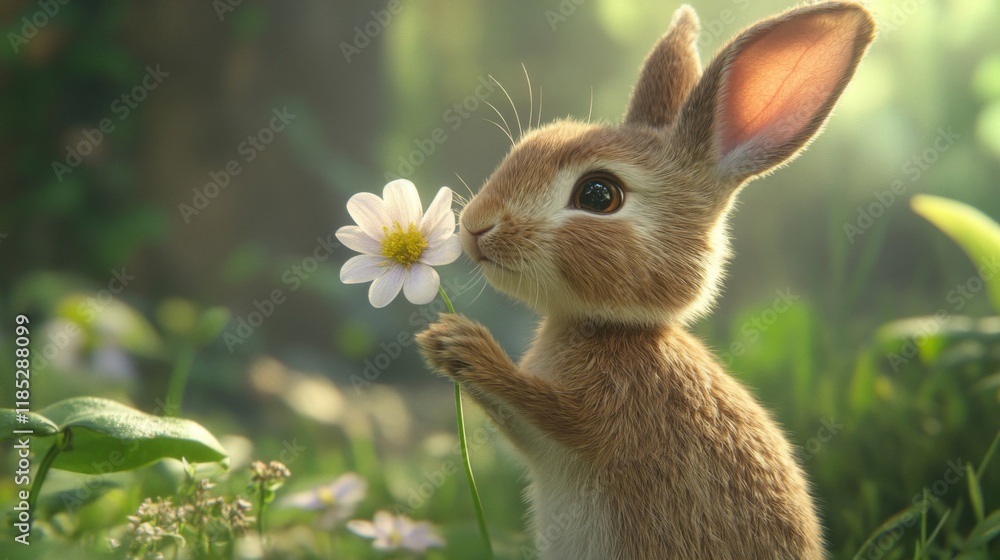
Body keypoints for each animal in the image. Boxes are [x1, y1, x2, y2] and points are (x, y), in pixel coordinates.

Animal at [416, 2, 875, 559]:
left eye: (598, 195)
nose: (475, 225)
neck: (611, 328)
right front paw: (439, 343)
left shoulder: (604, 418)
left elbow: (541, 407)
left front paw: (459, 344)